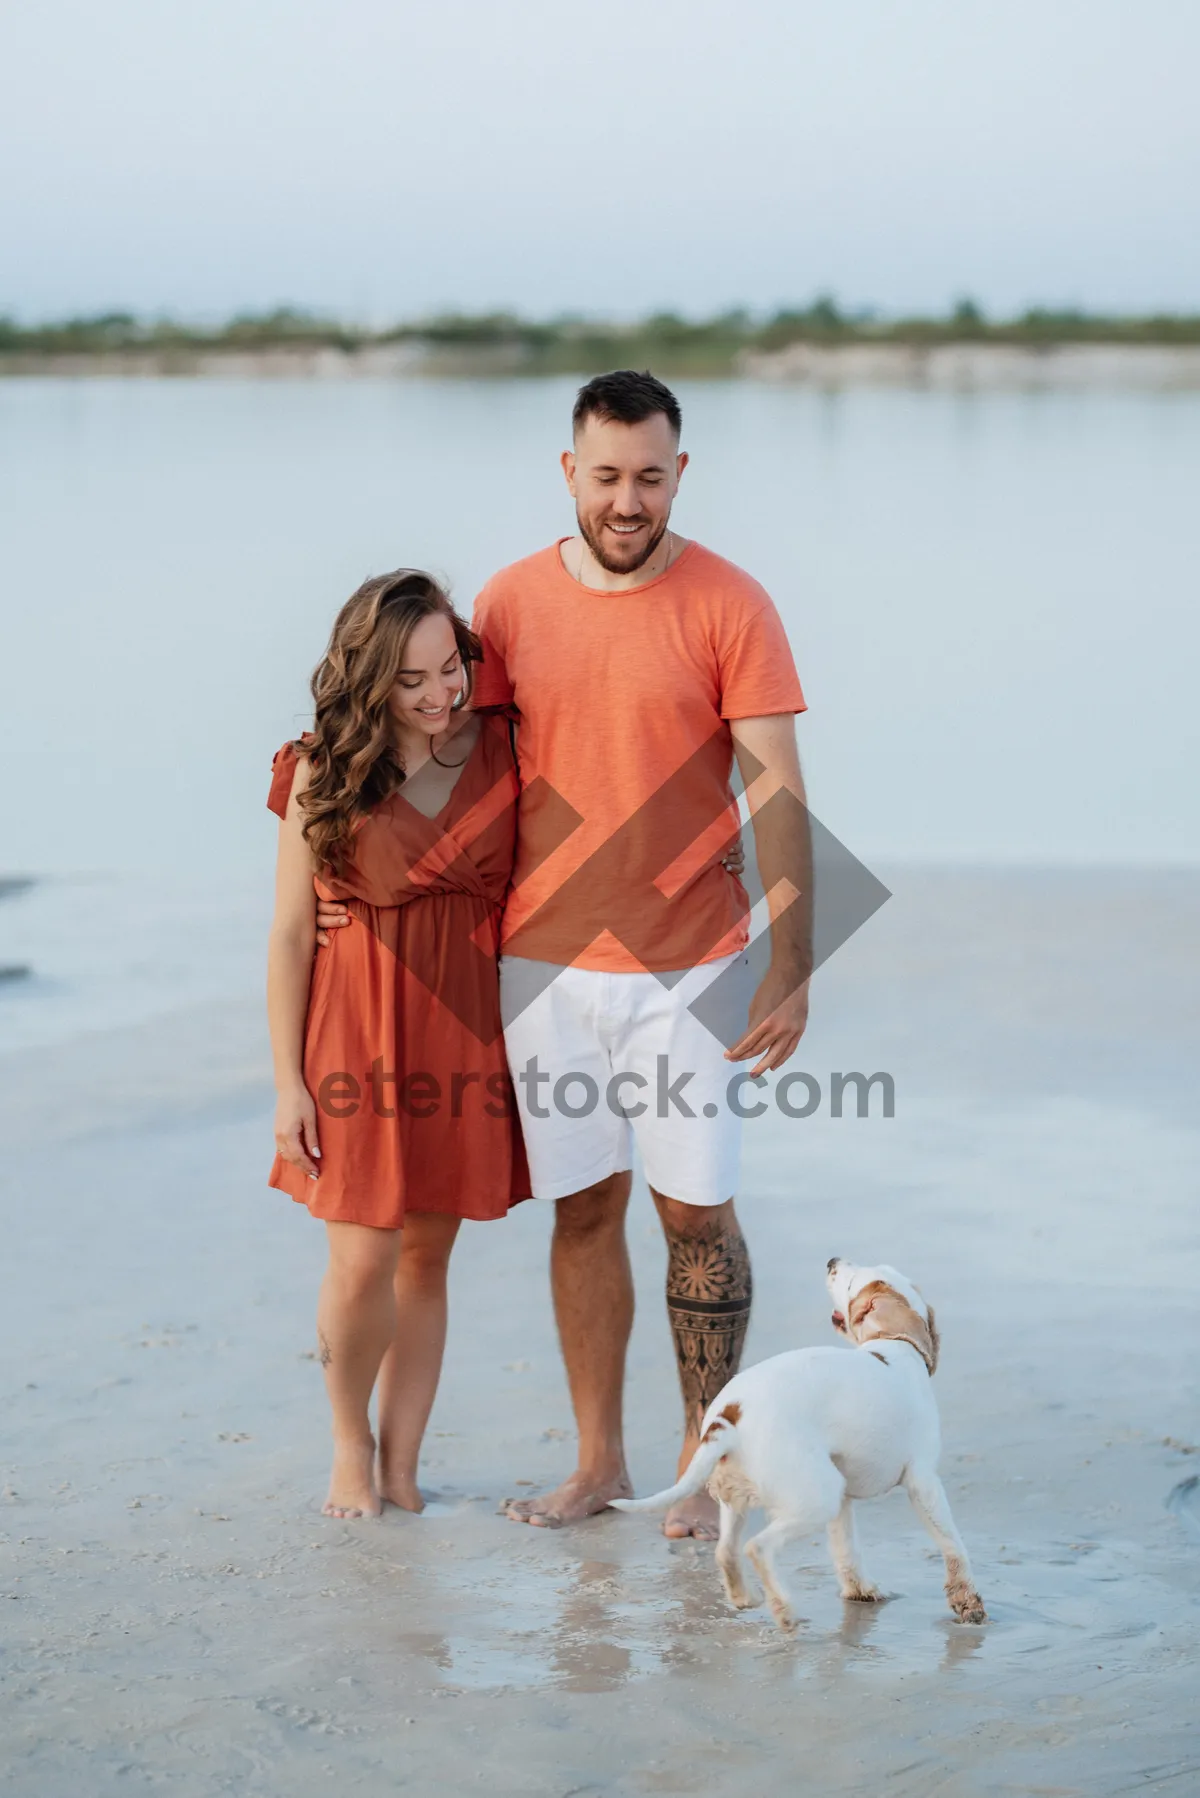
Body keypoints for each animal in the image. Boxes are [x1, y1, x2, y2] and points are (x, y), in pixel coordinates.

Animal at [611, 1265, 985, 1632]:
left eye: (851, 1280)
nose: (832, 1262)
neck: (896, 1348)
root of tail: (727, 1418)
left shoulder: (844, 1498)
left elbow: (846, 1549)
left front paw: (860, 1592)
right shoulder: (924, 1482)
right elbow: (953, 1545)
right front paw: (968, 1604)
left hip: (747, 1498)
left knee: (726, 1552)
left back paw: (746, 1598)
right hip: (816, 1498)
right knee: (757, 1548)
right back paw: (784, 1610)